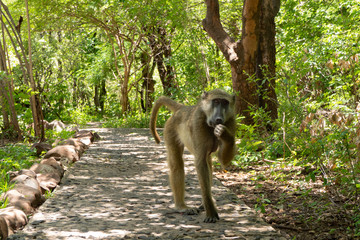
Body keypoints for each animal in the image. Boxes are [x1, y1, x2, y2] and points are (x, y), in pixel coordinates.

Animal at [149, 88, 236, 223]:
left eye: (225, 103)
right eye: (216, 101)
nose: (218, 119)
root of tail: (183, 108)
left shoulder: (231, 121)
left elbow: (223, 161)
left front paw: (224, 134)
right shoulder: (198, 122)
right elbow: (200, 163)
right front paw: (211, 212)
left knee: (208, 162)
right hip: (170, 129)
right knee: (178, 165)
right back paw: (181, 206)